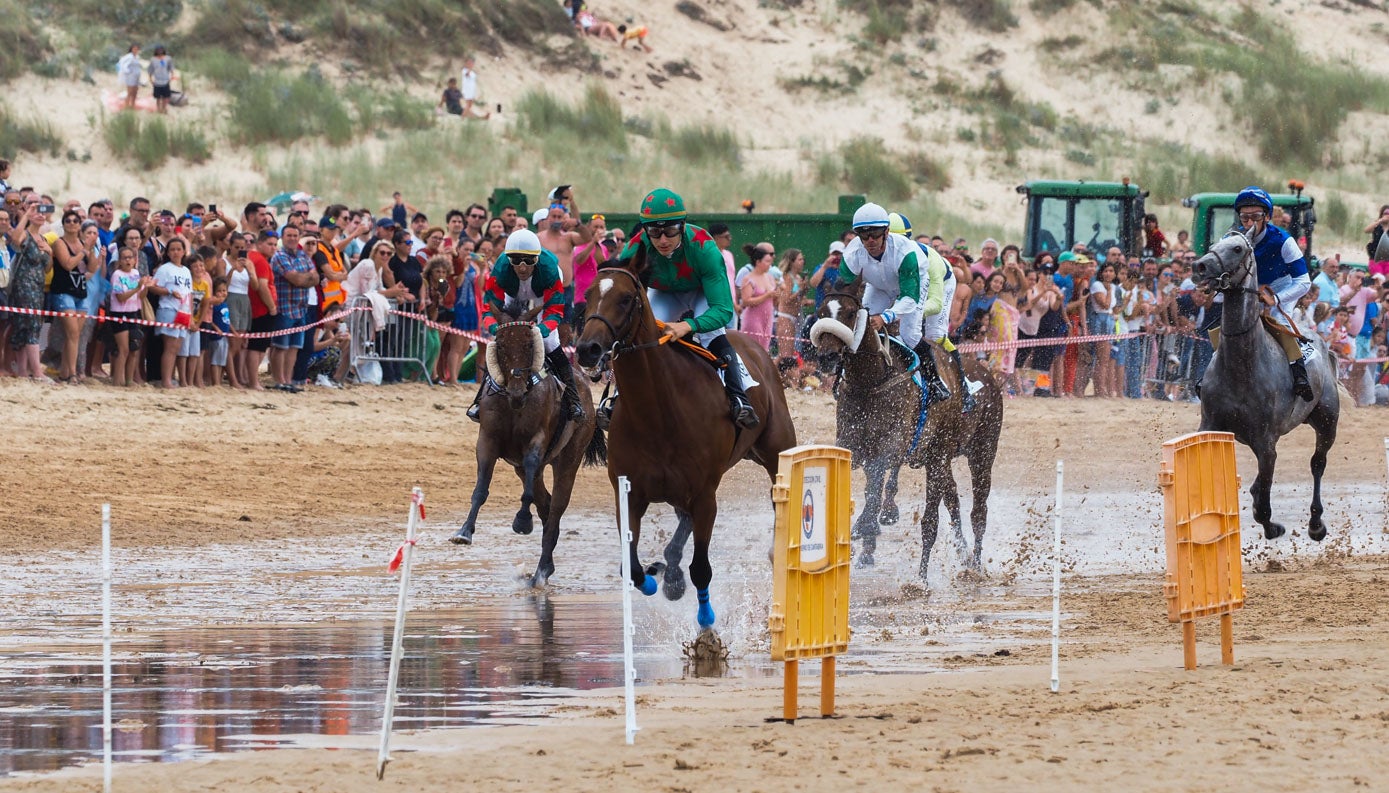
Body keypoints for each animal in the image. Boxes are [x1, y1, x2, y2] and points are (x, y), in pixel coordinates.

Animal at [447, 304, 605, 588]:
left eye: (530, 345)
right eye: (500, 345)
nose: (518, 390)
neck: (514, 403)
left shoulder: (537, 442)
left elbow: (530, 483)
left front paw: (522, 520)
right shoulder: (487, 441)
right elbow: (480, 488)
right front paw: (464, 531)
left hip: (568, 459)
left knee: (555, 508)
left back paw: (541, 570)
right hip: (525, 466)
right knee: (546, 505)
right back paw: (545, 565)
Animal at [572, 261, 794, 633]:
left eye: (626, 298)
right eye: (587, 294)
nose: (587, 348)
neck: (658, 411)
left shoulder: (705, 495)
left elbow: (701, 568)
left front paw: (706, 625)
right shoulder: (629, 494)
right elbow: (631, 569)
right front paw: (658, 576)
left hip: (776, 449)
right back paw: (670, 572)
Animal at [811, 286, 1005, 577]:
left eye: (849, 313)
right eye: (822, 312)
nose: (827, 357)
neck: (871, 381)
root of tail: (988, 375)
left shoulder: (894, 443)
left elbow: (878, 483)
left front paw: (868, 525)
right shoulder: (854, 442)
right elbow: (869, 484)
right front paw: (863, 539)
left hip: (981, 451)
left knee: (978, 511)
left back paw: (974, 566)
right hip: (941, 457)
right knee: (952, 498)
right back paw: (963, 553)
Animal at [1188, 229, 1338, 538]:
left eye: (1236, 248)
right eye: (1214, 244)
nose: (1200, 267)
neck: (1241, 367)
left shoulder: (1267, 442)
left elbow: (1264, 501)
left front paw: (1273, 527)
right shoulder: (1210, 425)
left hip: (1328, 421)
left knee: (1318, 463)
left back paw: (1316, 524)